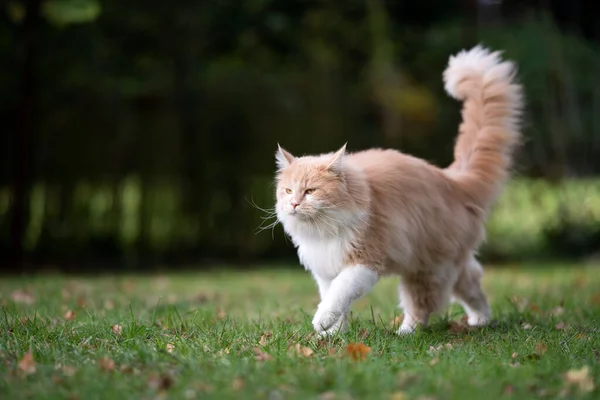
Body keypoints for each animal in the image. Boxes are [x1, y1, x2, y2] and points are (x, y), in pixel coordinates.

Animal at [274, 45, 524, 336]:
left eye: (310, 191)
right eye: (288, 191)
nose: (293, 204)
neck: (323, 230)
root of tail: (452, 180)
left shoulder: (363, 262)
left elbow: (338, 295)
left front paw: (322, 322)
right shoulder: (326, 270)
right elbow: (335, 302)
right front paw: (333, 335)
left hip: (425, 269)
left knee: (423, 306)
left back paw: (406, 332)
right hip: (444, 263)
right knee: (472, 282)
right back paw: (481, 320)